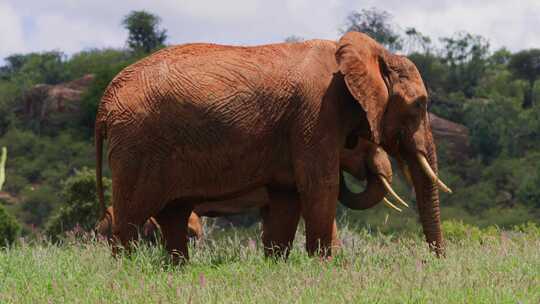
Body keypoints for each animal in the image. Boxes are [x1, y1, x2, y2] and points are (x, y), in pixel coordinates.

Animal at [96, 31, 452, 264]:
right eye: (419, 104)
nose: (435, 263)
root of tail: (105, 102)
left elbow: (287, 195)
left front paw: (278, 266)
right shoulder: (316, 114)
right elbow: (320, 186)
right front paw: (327, 267)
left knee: (174, 214)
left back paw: (177, 270)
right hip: (137, 146)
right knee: (132, 218)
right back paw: (127, 270)